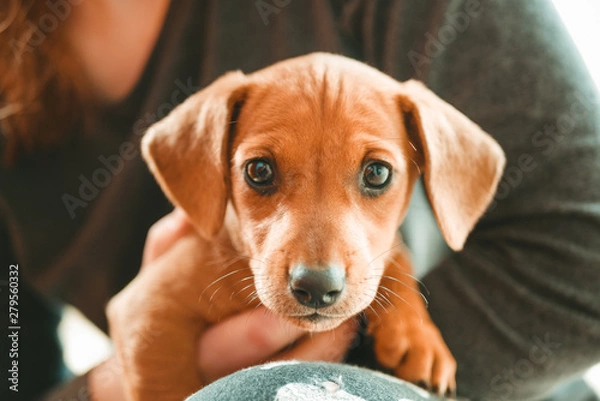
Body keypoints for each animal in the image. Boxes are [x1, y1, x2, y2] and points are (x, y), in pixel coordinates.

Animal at [108, 53, 506, 400]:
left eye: (377, 173)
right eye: (259, 170)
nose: (316, 287)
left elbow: (395, 257)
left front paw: (417, 336)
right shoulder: (147, 309)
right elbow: (165, 382)